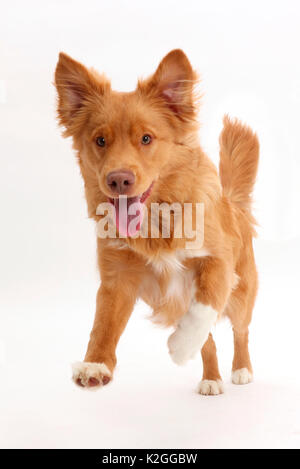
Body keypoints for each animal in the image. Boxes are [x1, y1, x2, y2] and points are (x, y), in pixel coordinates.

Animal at [55, 50, 258, 394]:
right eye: (100, 140)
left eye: (146, 138)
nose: (118, 180)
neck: (157, 221)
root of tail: (234, 203)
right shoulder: (117, 278)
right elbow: (103, 324)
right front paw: (95, 365)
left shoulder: (219, 261)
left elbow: (205, 305)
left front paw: (180, 346)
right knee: (209, 342)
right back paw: (211, 378)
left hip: (242, 293)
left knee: (240, 330)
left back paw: (241, 369)